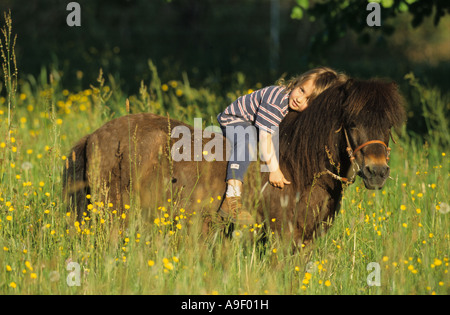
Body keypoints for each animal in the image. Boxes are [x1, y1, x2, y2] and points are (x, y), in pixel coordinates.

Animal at [64, 78, 408, 247]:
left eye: (388, 124)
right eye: (352, 122)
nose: (377, 172)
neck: (299, 166)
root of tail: (95, 135)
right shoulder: (283, 237)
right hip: (113, 215)